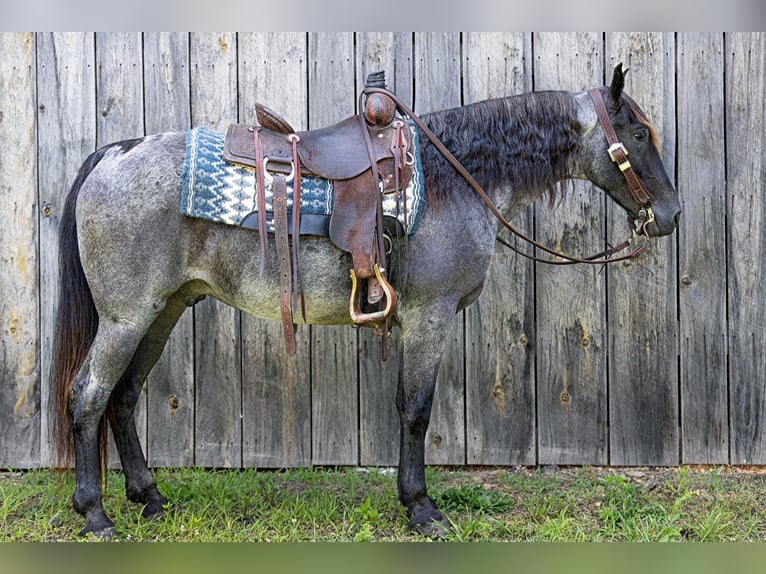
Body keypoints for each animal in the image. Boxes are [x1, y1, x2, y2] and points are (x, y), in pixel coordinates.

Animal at [51, 64, 680, 540]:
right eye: (639, 134)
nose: (670, 215)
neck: (456, 178)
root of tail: (113, 154)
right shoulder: (429, 316)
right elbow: (415, 409)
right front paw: (422, 508)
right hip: (126, 317)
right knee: (88, 396)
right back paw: (96, 514)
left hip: (163, 310)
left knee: (124, 396)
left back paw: (148, 497)